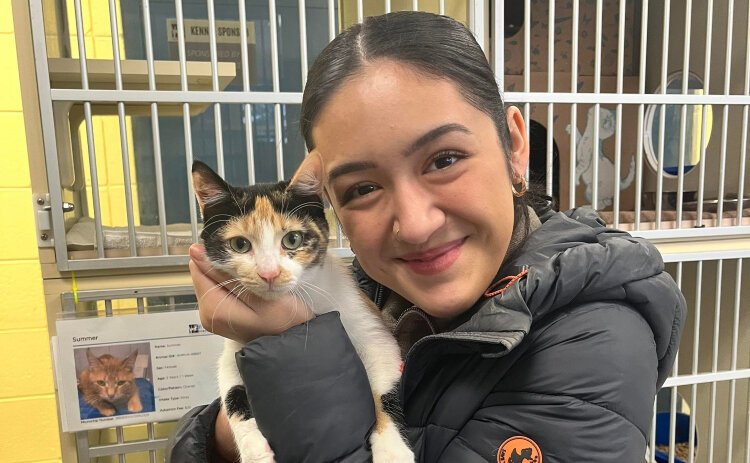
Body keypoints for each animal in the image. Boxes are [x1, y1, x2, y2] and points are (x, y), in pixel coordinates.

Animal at [191, 160, 414, 463]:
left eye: (292, 239)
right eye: (239, 244)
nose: (269, 273)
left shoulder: (374, 332)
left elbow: (381, 390)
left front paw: (392, 449)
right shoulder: (234, 348)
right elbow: (231, 391)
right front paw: (253, 450)